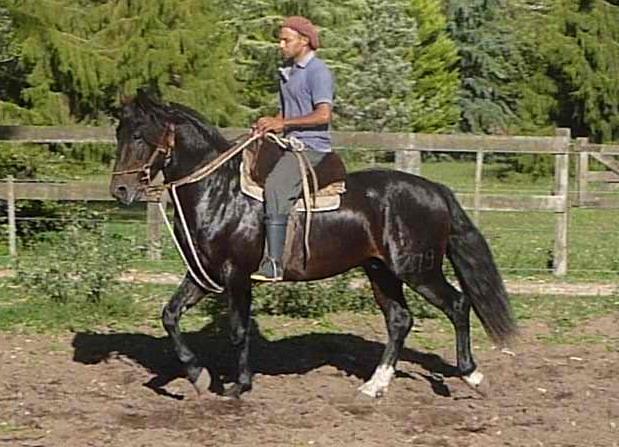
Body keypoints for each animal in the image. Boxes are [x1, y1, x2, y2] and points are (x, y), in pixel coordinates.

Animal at [109, 91, 517, 399]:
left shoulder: (236, 275)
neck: (219, 191)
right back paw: (374, 385)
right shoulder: (202, 274)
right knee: (400, 320)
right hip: (380, 271)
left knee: (458, 305)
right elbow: (170, 315)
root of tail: (435, 190)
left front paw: (239, 385)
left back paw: (472, 376)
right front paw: (199, 376)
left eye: (140, 135)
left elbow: (238, 331)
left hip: (418, 269)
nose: (120, 190)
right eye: (119, 132)